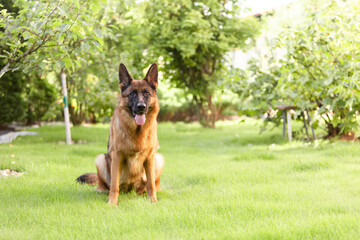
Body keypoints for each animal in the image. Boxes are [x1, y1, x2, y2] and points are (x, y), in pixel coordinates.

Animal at [78, 63, 165, 204]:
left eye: (146, 93)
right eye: (132, 94)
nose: (141, 107)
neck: (137, 132)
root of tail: (131, 189)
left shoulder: (150, 157)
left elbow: (151, 184)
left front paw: (153, 201)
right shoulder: (117, 156)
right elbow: (114, 186)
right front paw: (112, 203)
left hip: (158, 159)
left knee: (152, 184)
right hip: (100, 160)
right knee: (107, 185)